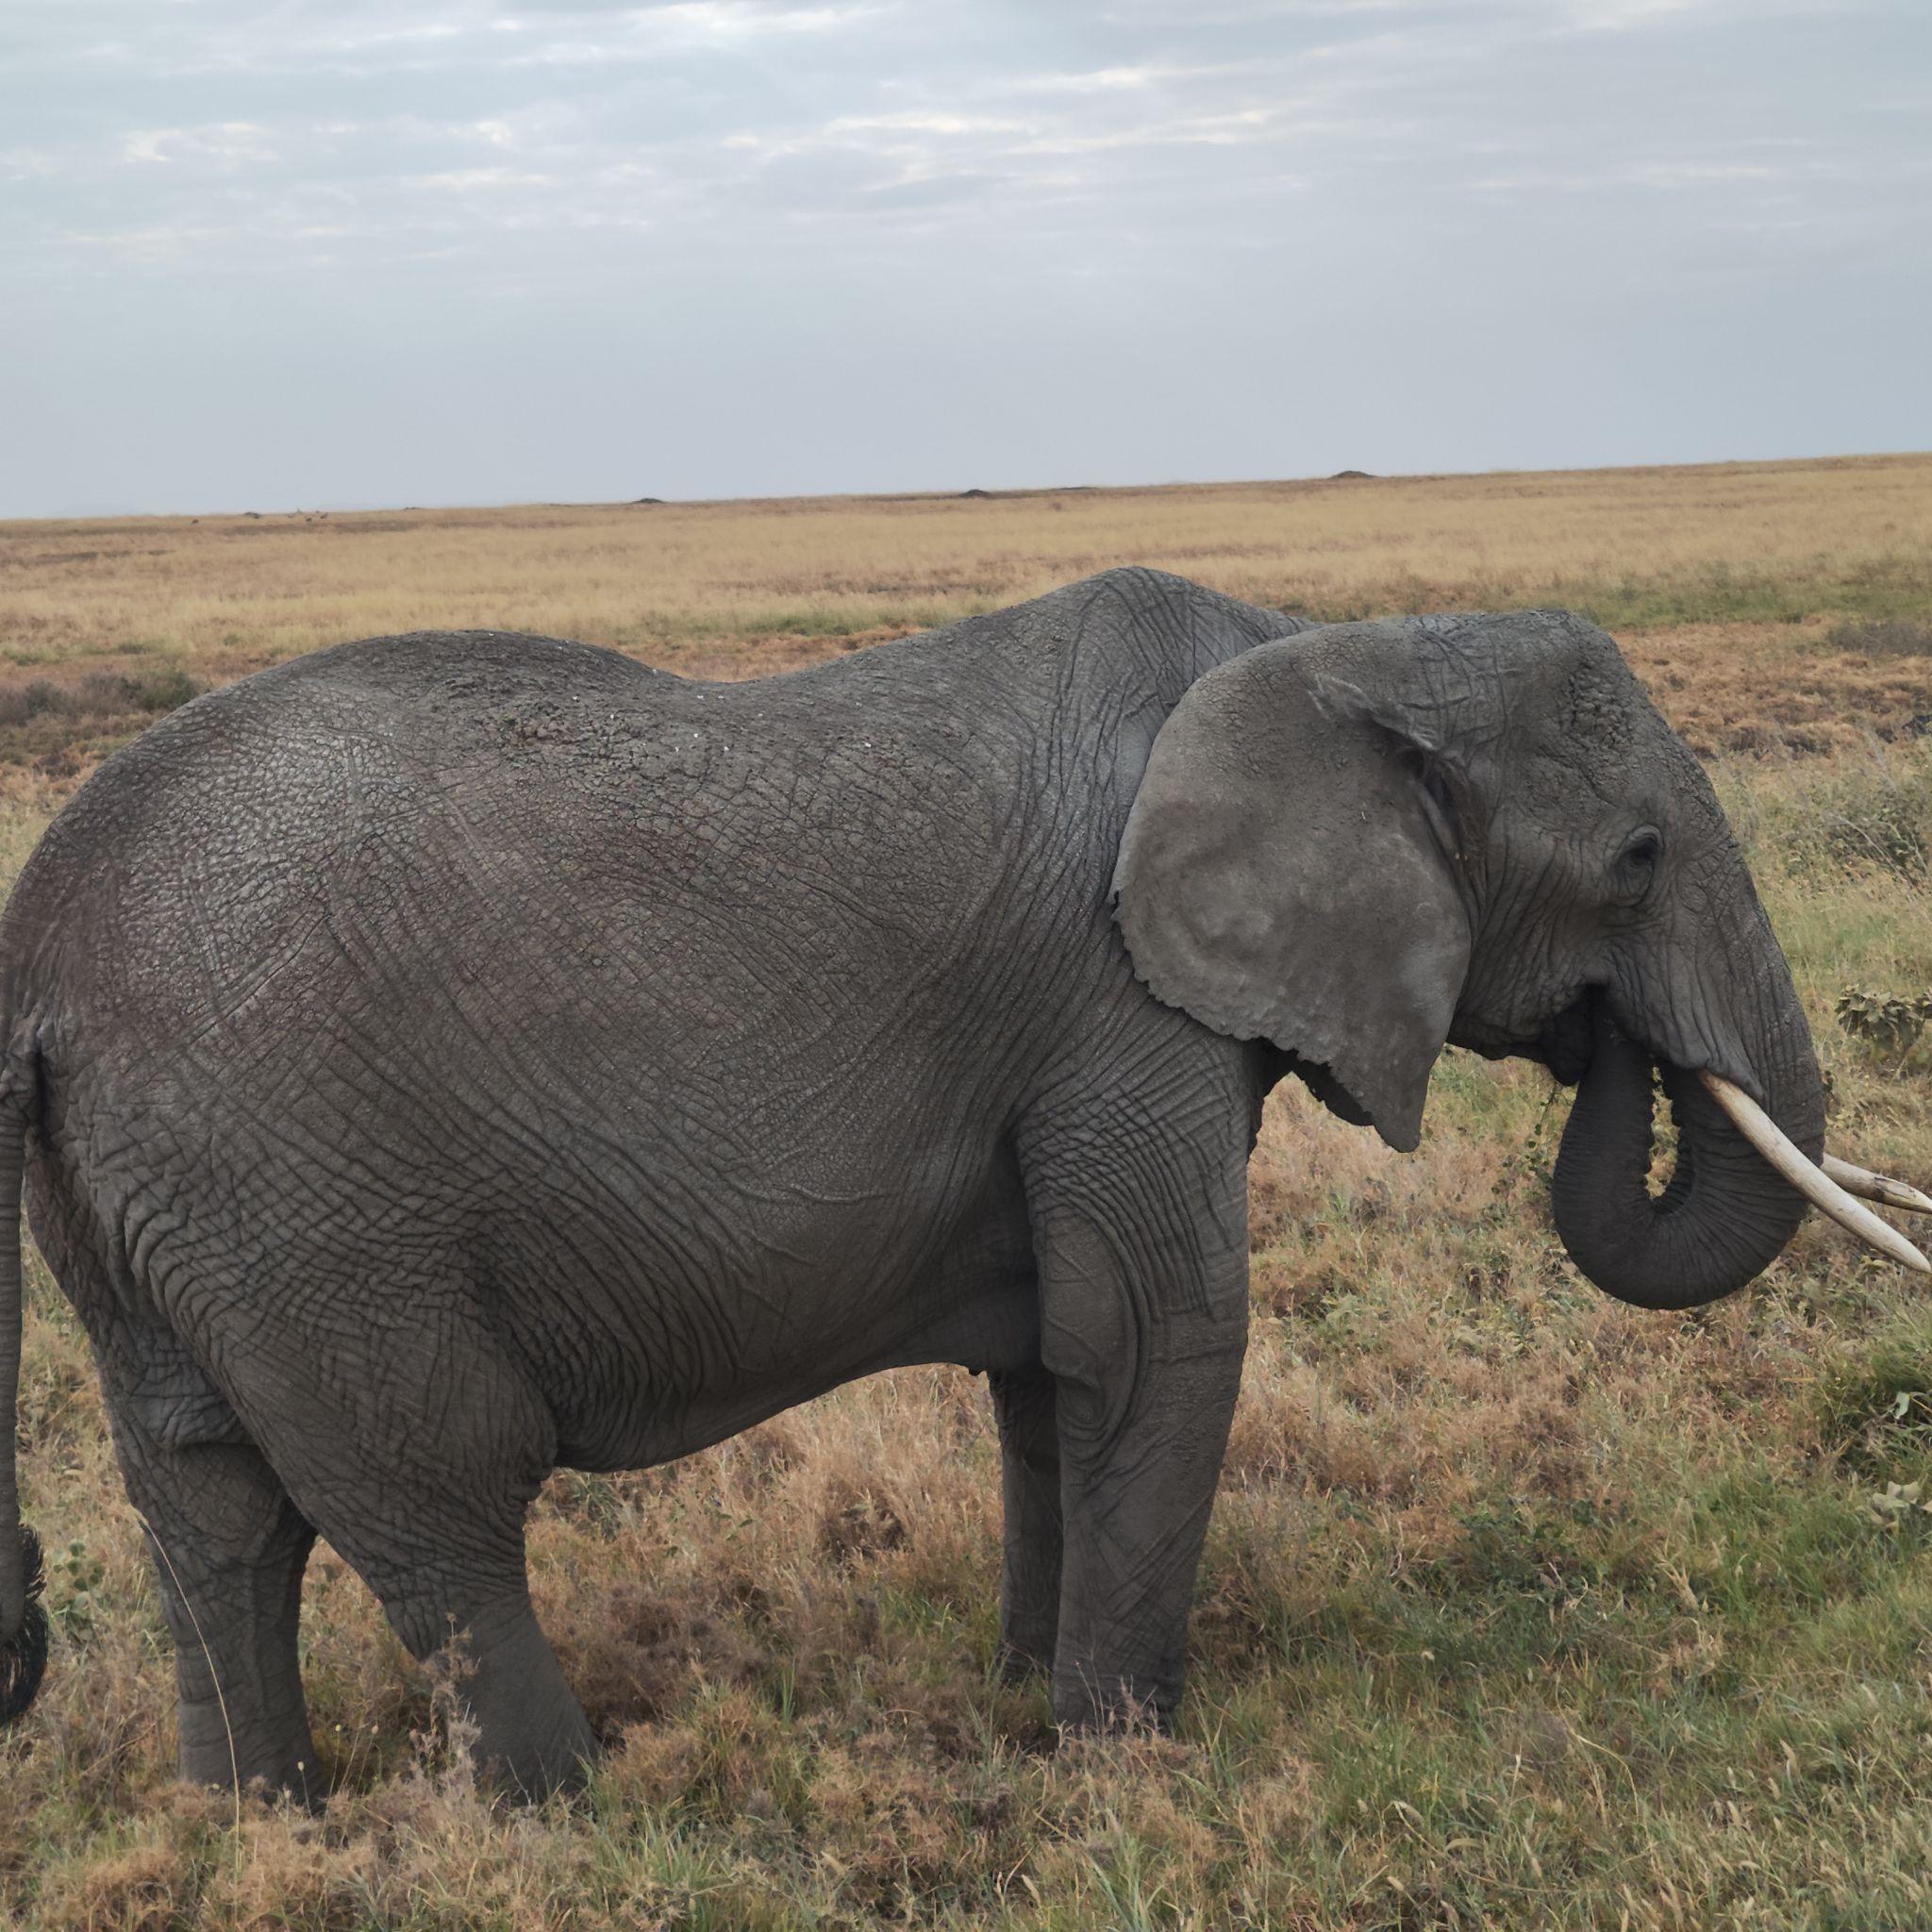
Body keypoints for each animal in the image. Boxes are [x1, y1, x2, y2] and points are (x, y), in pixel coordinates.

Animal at [0, 568, 1908, 1792]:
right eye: (1637, 858)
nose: (1615, 1042)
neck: (1329, 651)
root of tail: (34, 964)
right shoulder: (1120, 1000)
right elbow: (1156, 1334)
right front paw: (1124, 1762)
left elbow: (1053, 1366)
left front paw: (1018, 1694)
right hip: (311, 1204)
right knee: (435, 1496)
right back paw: (561, 1812)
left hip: (160, 1207)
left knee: (209, 1513)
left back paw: (252, 1822)